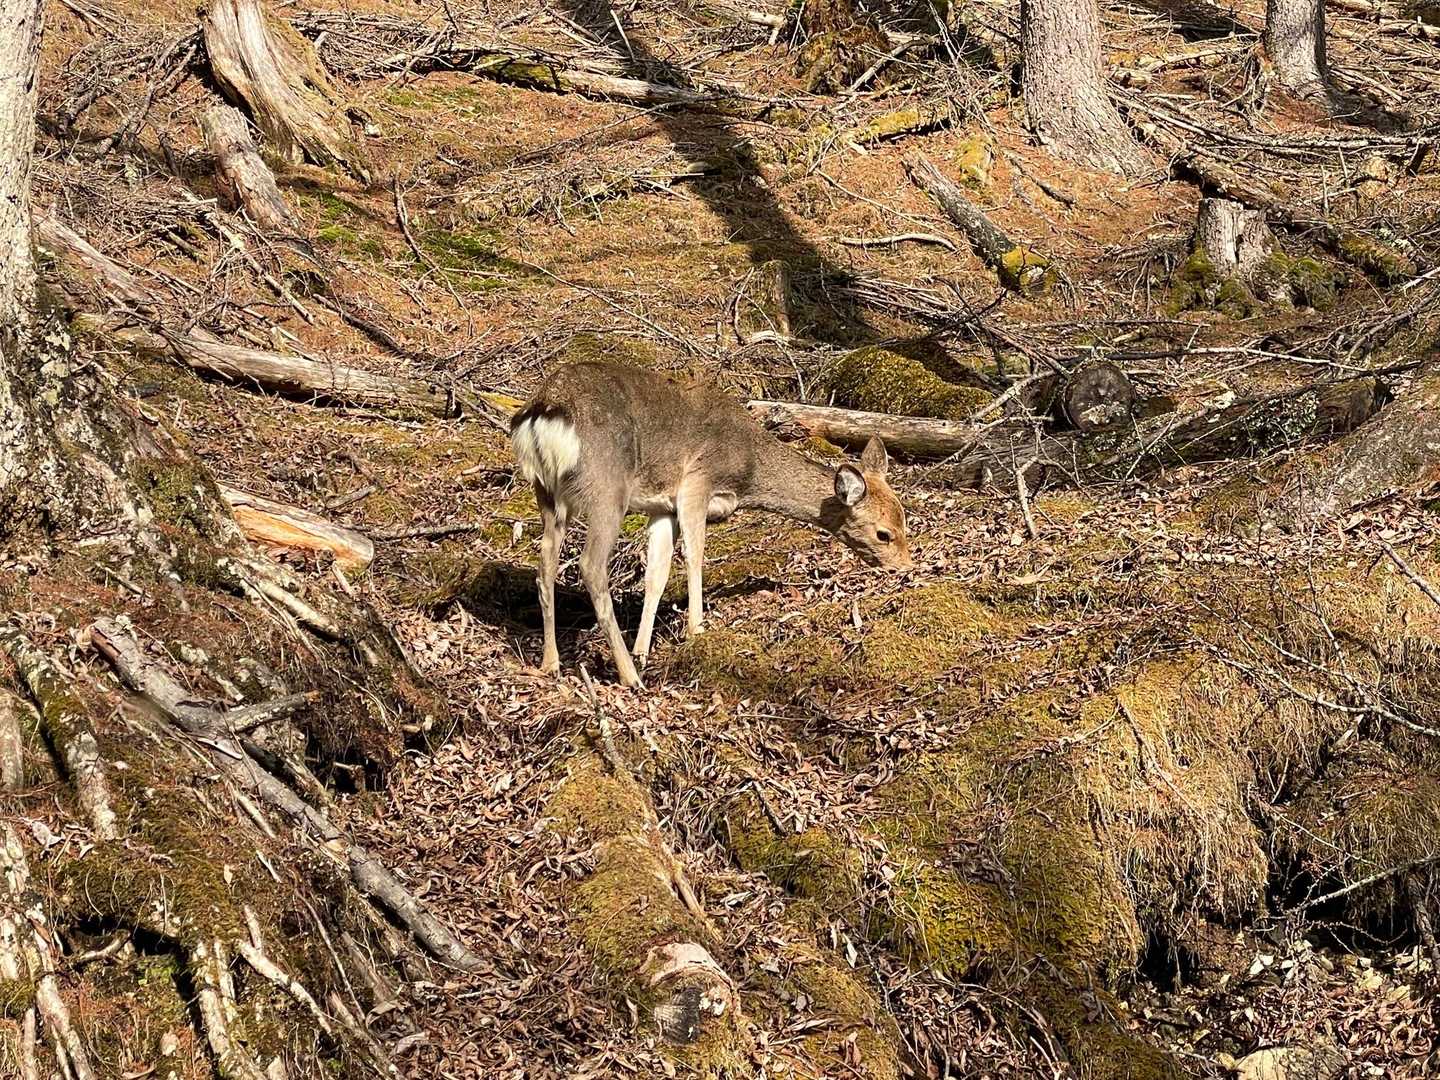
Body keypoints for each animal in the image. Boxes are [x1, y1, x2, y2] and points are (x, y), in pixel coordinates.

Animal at [510, 361, 913, 687]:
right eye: (884, 534)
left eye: (905, 520)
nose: (906, 567)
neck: (749, 470)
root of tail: (545, 411)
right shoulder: (697, 483)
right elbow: (694, 556)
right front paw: (696, 629)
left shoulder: (662, 508)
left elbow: (656, 575)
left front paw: (644, 649)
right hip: (607, 488)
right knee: (591, 566)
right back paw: (628, 675)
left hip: (547, 494)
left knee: (544, 565)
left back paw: (552, 663)